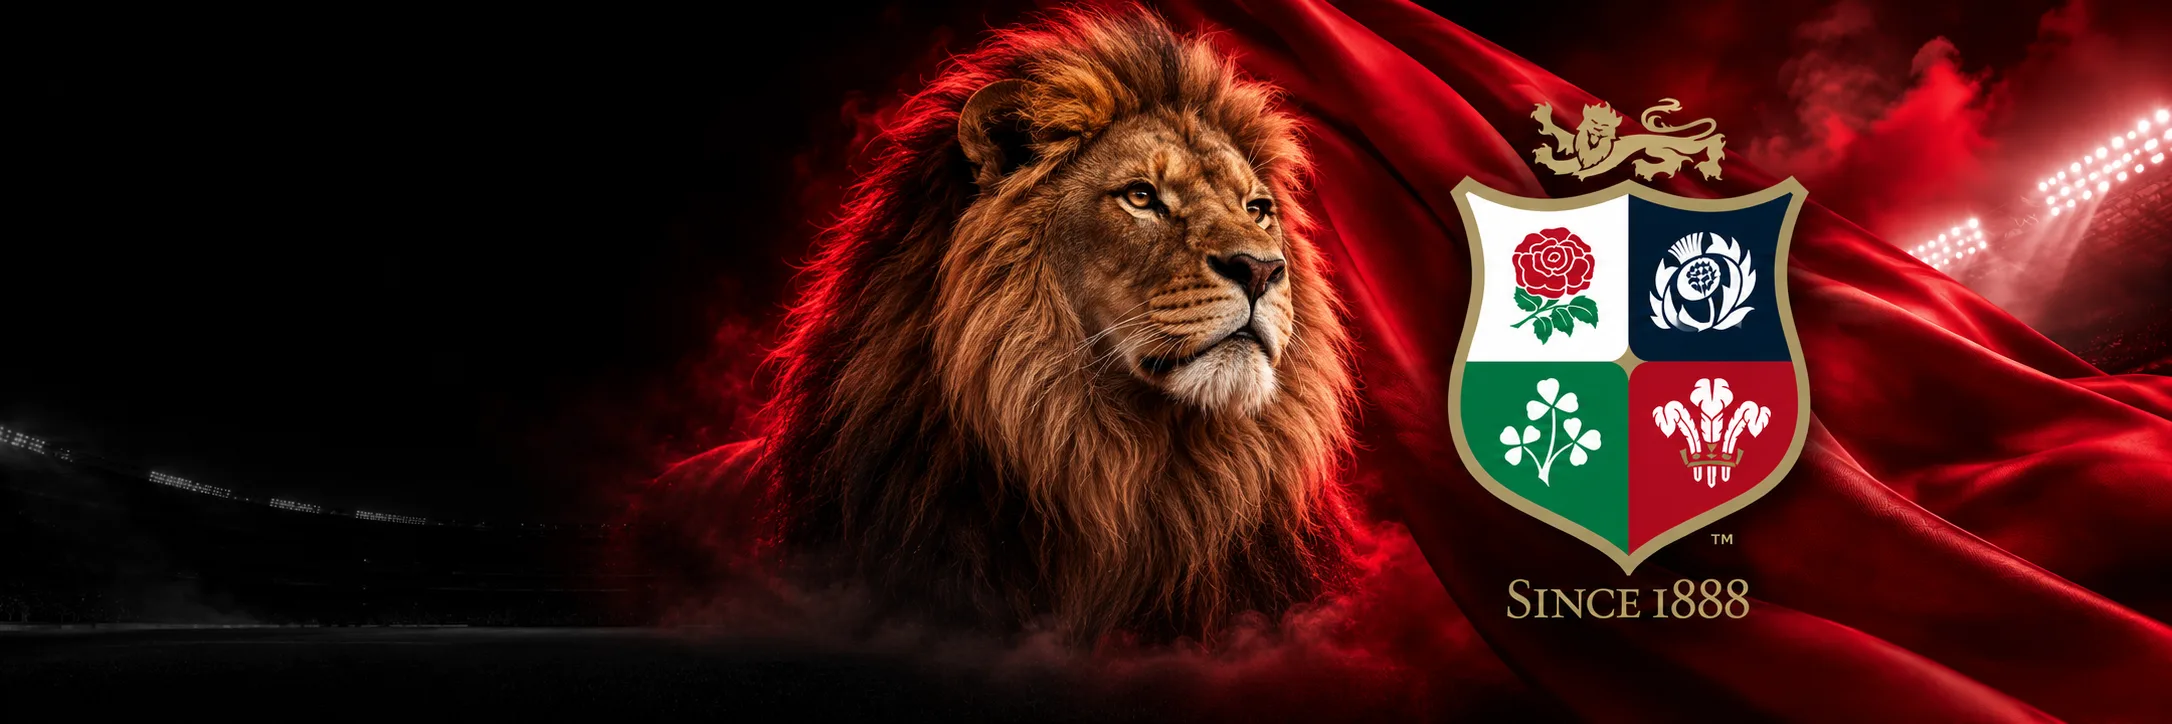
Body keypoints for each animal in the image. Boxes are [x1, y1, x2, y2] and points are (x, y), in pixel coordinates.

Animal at [1532, 99, 1727, 181]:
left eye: (1604, 126)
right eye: (1593, 122)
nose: (1597, 130)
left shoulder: (1603, 160)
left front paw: (1581, 175)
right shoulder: (1575, 149)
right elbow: (1559, 135)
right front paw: (1544, 117)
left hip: (1654, 149)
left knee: (1678, 156)